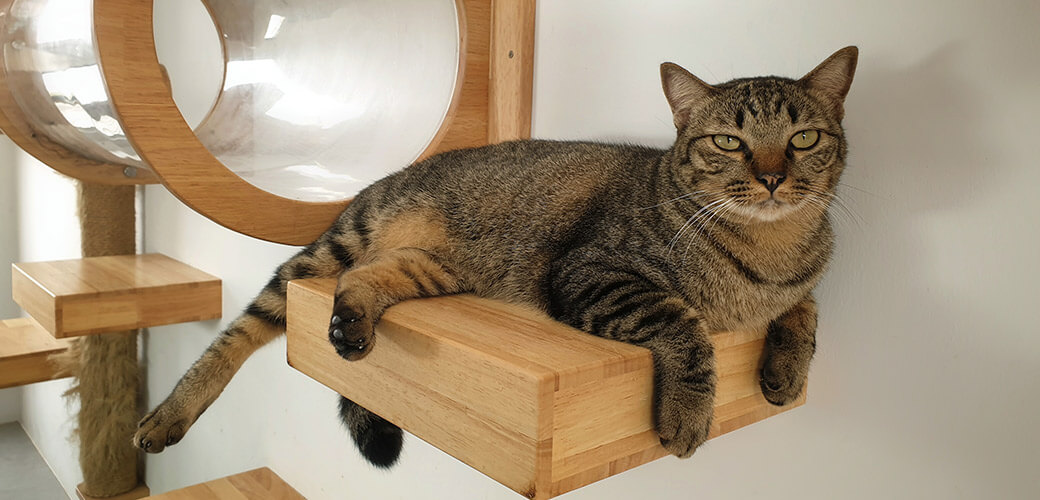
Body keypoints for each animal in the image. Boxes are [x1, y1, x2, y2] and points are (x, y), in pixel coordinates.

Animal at [132, 46, 861, 463]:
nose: (773, 179)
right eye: (728, 142)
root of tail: (386, 181)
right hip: (350, 239)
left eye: (803, 137)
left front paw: (785, 371)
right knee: (247, 326)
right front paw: (688, 414)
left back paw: (350, 326)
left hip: (432, 267)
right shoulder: (593, 274)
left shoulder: (799, 283)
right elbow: (686, 328)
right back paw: (164, 418)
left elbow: (807, 310)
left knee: (365, 277)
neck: (766, 253)